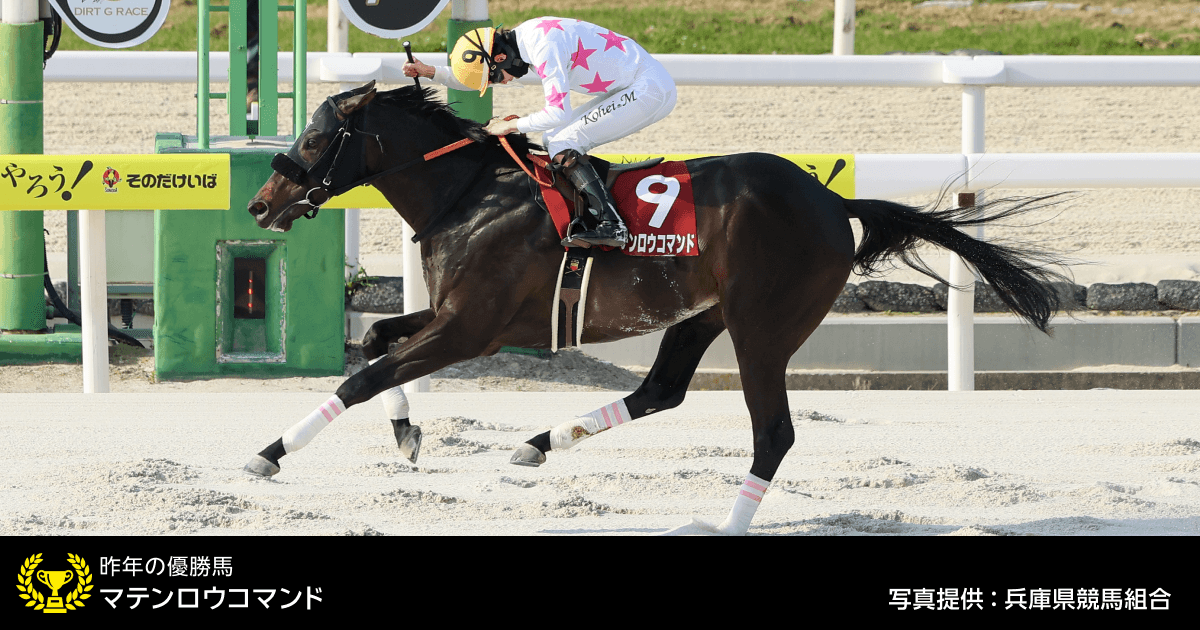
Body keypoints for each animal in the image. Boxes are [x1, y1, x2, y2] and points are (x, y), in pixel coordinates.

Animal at [242, 81, 1070, 534]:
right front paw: (407, 434)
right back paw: (543, 441)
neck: (471, 194)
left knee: (772, 432)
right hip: (707, 312)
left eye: (314, 137)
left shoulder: (473, 330)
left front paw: (269, 453)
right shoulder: (453, 319)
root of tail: (834, 201)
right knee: (662, 389)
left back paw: (723, 525)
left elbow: (362, 376)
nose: (259, 203)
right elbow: (377, 340)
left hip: (764, 327)